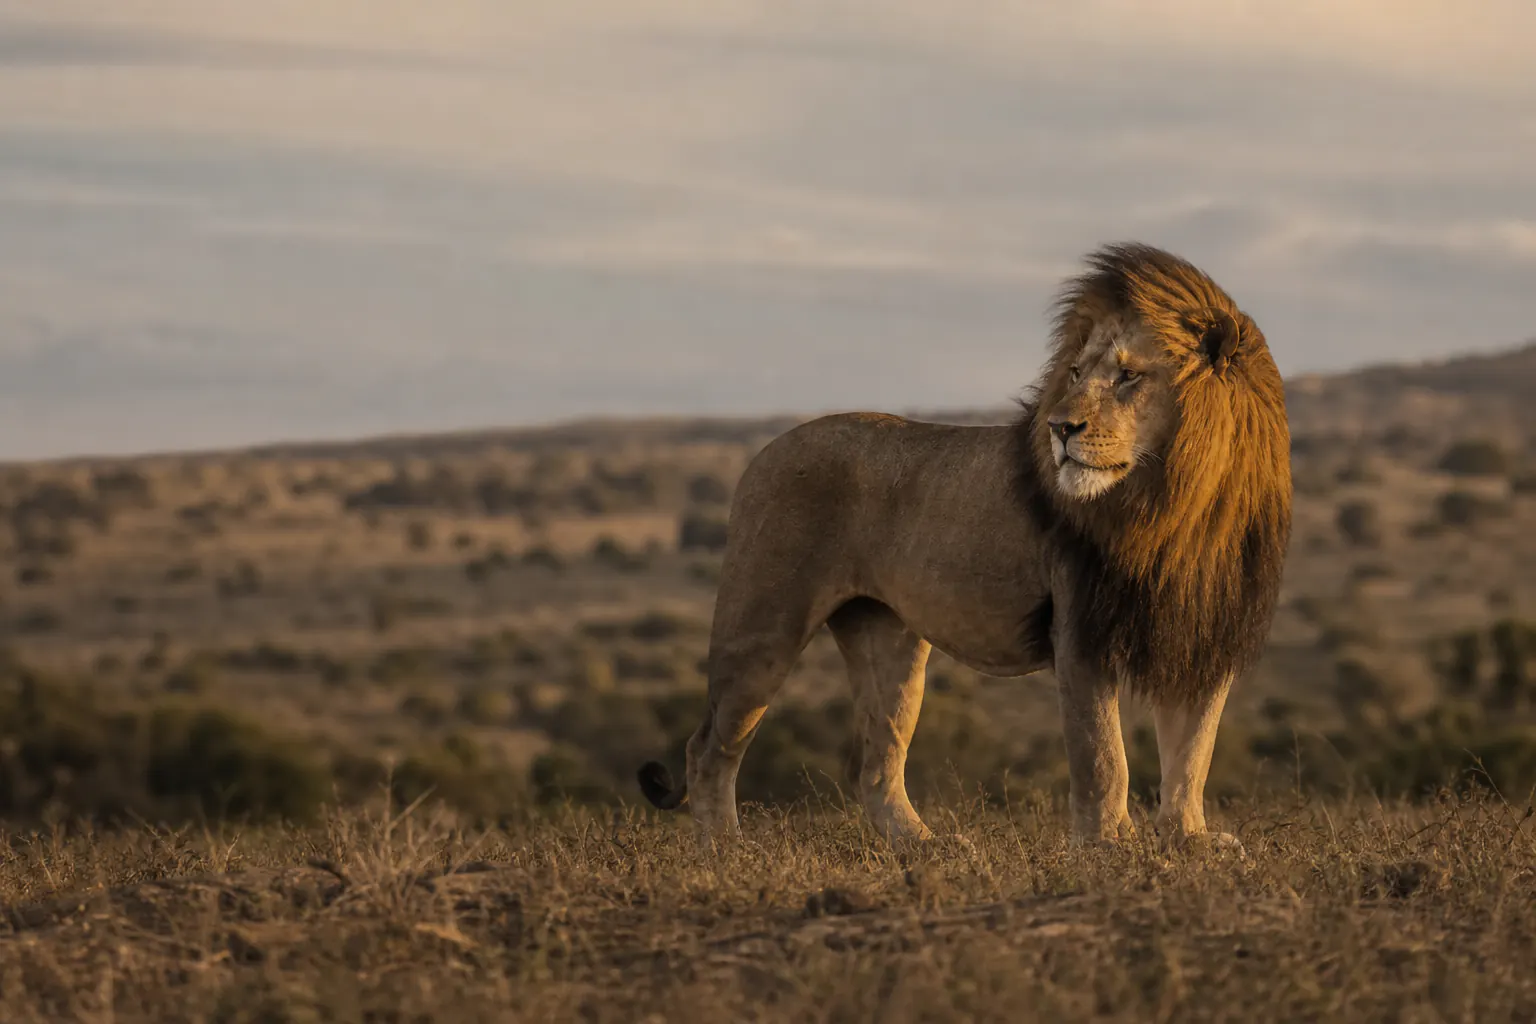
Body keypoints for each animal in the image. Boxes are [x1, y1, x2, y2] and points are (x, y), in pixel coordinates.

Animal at [637, 242, 1292, 851]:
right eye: (1076, 375)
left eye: (1130, 375)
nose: (1060, 429)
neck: (1179, 509)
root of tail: (765, 451)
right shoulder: (1079, 627)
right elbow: (1102, 752)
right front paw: (1109, 844)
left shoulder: (1207, 631)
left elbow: (1193, 751)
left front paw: (1190, 840)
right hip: (762, 626)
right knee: (708, 746)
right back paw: (726, 848)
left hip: (886, 640)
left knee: (874, 765)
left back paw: (922, 844)